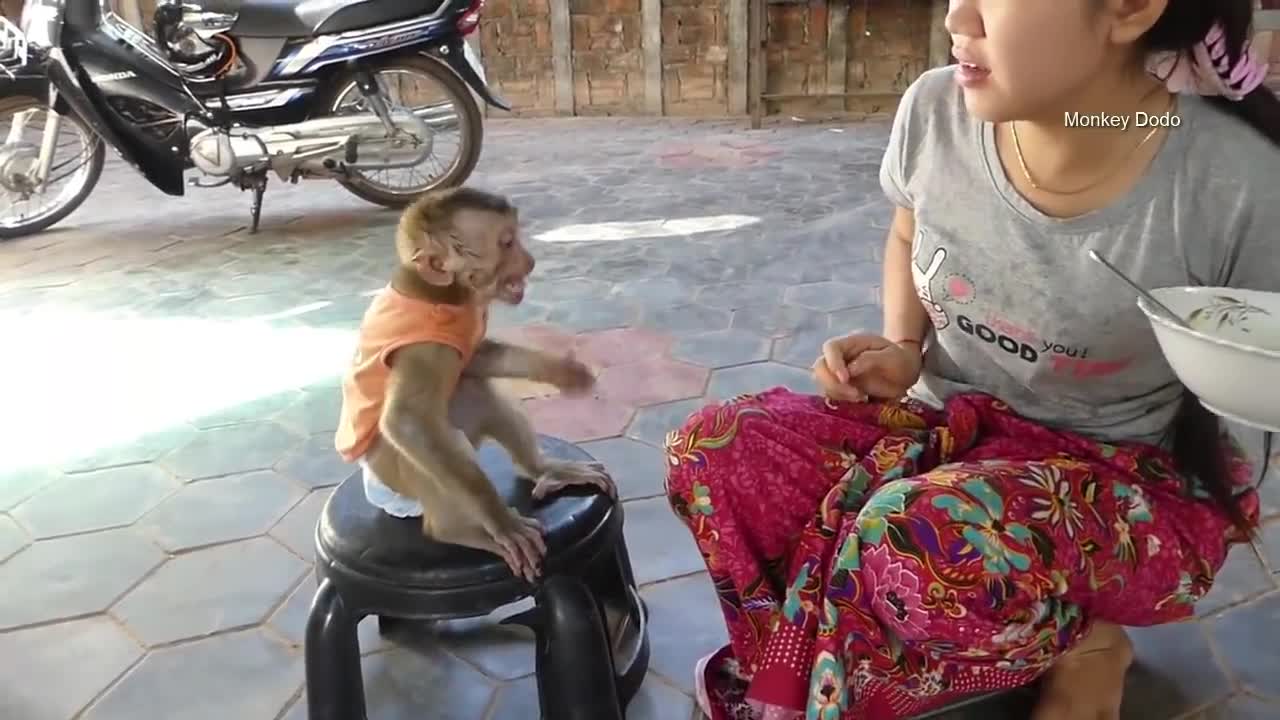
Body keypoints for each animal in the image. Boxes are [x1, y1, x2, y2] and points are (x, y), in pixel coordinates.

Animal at [337, 184, 616, 576]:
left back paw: (543, 469)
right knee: (427, 433)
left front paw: (561, 371)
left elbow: (475, 360)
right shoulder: (425, 345)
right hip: (394, 478)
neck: (444, 294)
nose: (529, 261)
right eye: (507, 243)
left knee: (475, 390)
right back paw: (459, 529)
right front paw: (503, 524)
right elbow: (407, 420)